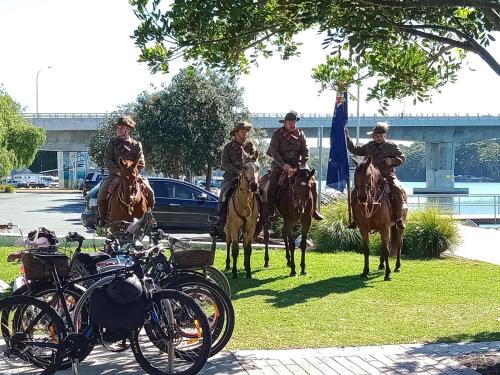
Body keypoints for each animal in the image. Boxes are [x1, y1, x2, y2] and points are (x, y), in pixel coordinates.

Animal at [225, 152, 260, 280]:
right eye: (245, 167)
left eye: (257, 167)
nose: (254, 185)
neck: (245, 204)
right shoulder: (234, 227)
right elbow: (235, 249)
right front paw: (234, 273)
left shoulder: (251, 227)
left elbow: (248, 249)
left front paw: (249, 272)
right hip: (227, 228)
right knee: (228, 243)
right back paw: (228, 264)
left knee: (244, 244)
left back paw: (245, 265)